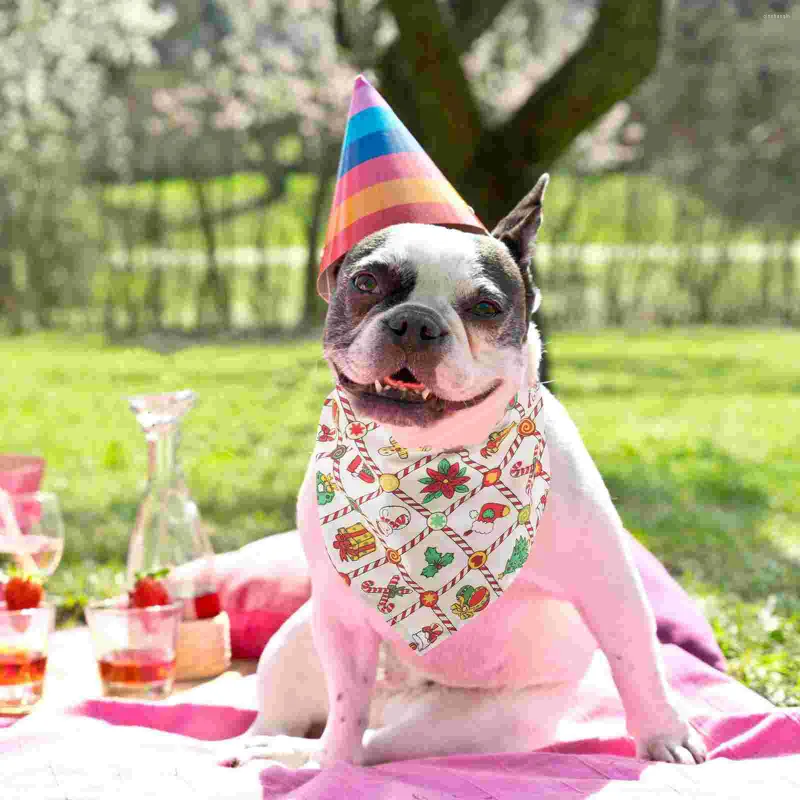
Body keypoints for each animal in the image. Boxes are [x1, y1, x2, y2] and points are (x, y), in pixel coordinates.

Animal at [220, 175, 708, 768]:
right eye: (366, 282)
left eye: (486, 306)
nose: (415, 322)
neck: (425, 459)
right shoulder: (339, 616)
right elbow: (344, 704)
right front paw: (329, 766)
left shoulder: (609, 586)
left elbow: (637, 659)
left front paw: (665, 734)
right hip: (296, 638)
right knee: (304, 717)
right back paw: (272, 747)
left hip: (468, 724)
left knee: (379, 746)